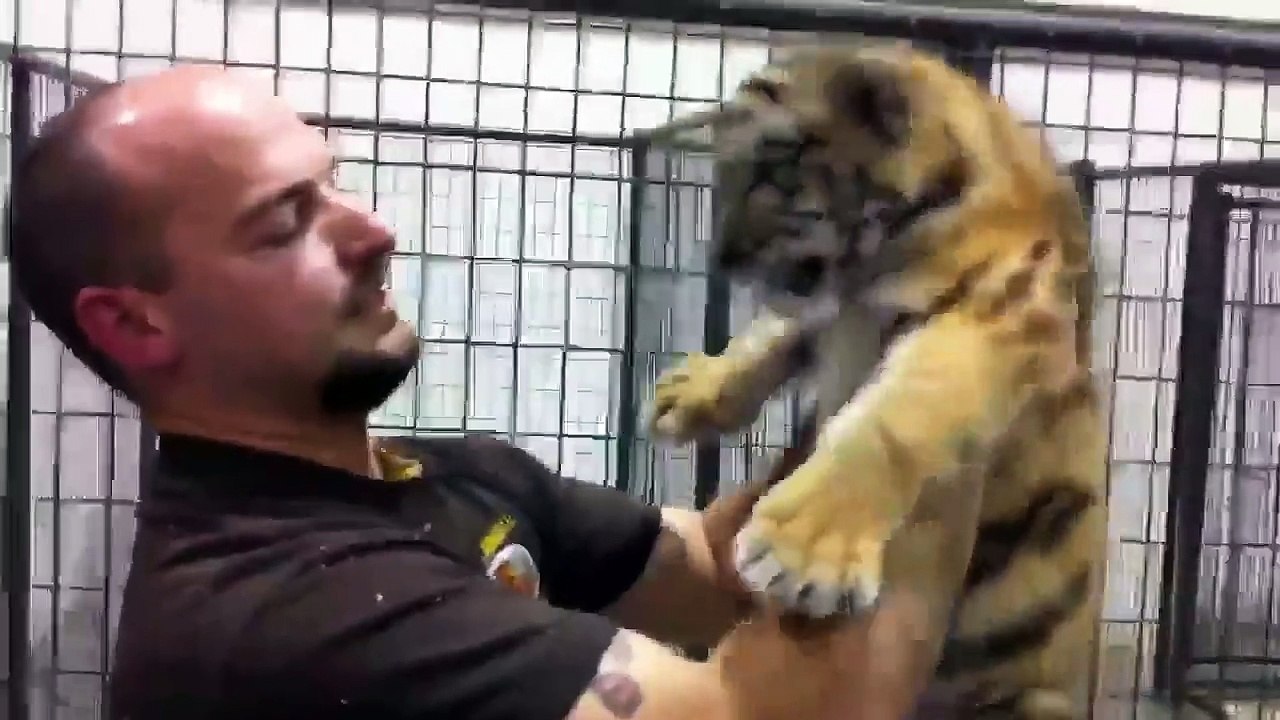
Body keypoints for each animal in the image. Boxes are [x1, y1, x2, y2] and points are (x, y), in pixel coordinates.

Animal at [639, 42, 1109, 719]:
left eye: (771, 169)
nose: (722, 258)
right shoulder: (833, 305)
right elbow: (782, 328)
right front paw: (693, 390)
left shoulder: (1002, 310)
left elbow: (895, 417)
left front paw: (806, 549)